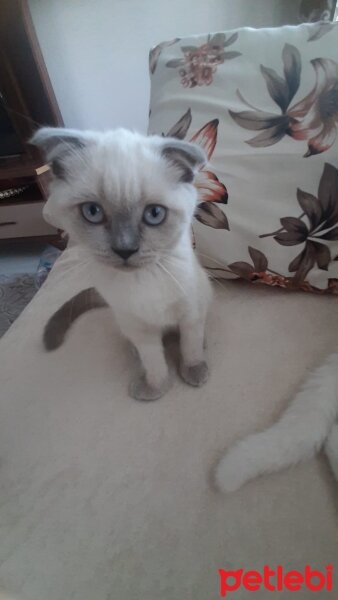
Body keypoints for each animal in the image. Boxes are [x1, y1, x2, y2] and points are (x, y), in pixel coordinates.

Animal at [31, 127, 211, 400]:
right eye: (92, 212)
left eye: (154, 214)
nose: (125, 249)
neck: (143, 280)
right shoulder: (139, 327)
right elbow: (154, 361)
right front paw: (155, 388)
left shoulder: (190, 312)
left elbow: (190, 346)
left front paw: (194, 370)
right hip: (124, 323)